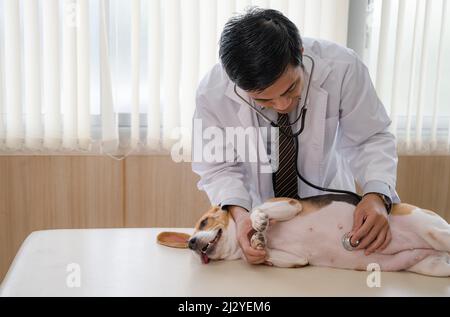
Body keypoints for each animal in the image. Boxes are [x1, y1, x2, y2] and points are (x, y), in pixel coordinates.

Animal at [159, 194, 450, 276]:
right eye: (189, 242)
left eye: (204, 222)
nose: (191, 243)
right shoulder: (298, 259)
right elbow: (286, 258)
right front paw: (259, 243)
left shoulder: (290, 204)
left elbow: (257, 212)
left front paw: (259, 222)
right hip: (433, 266)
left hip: (432, 229)